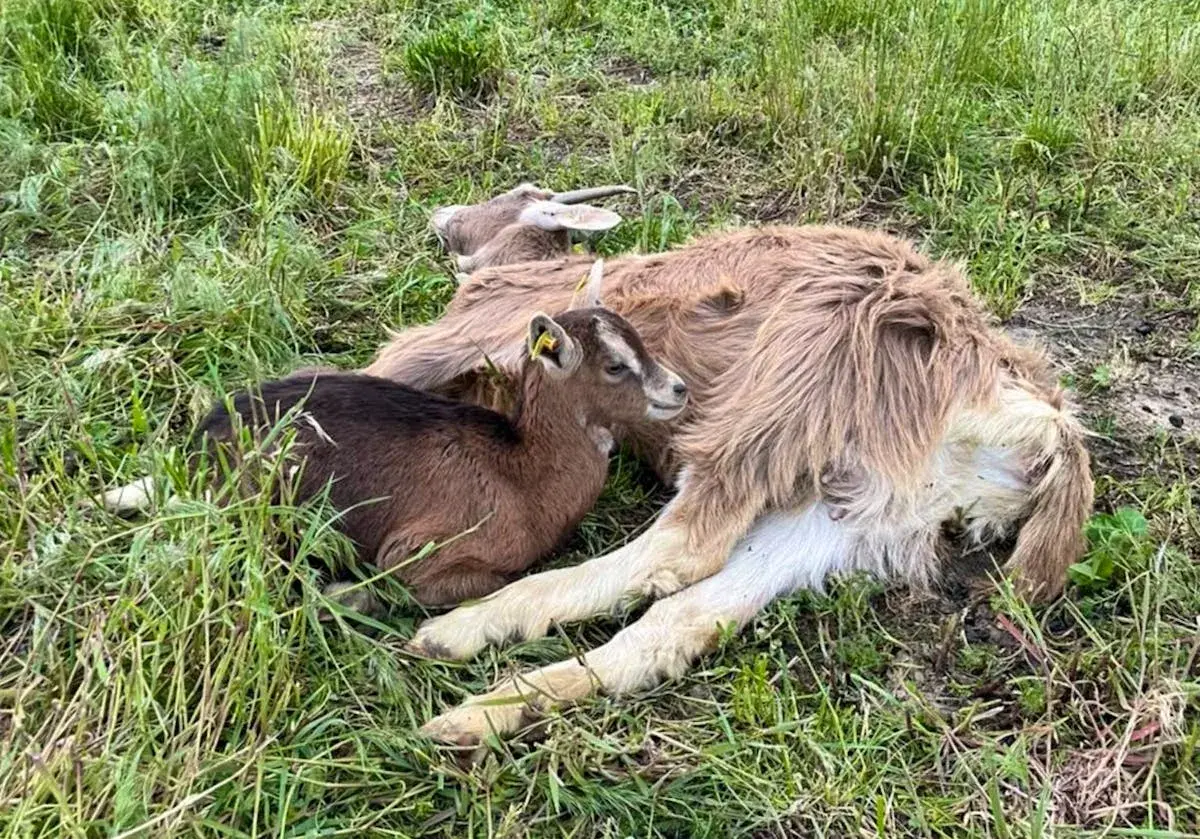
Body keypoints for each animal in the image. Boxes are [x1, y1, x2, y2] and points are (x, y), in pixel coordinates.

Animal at [101, 262, 688, 607]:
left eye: (639, 338)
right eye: (615, 365)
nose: (679, 389)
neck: (521, 478)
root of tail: (199, 446)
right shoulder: (418, 550)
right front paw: (344, 593)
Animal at [361, 186, 1094, 747]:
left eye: (515, 196)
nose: (442, 215)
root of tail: (1041, 420)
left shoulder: (466, 331)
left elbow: (371, 375)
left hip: (796, 377)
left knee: (686, 544)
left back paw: (462, 631)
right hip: (862, 508)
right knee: (688, 615)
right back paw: (483, 706)